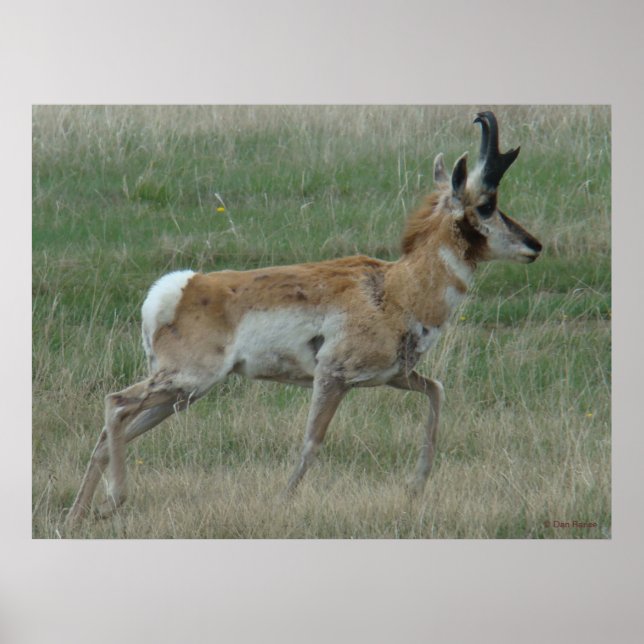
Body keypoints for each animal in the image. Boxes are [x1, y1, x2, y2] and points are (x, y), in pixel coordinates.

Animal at [65, 111, 542, 527]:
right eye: (487, 204)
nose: (534, 245)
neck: (396, 288)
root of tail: (180, 289)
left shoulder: (393, 376)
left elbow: (437, 391)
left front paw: (416, 487)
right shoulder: (332, 376)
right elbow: (312, 442)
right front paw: (281, 500)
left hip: (183, 394)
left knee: (110, 432)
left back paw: (81, 514)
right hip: (187, 381)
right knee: (115, 404)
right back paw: (112, 500)